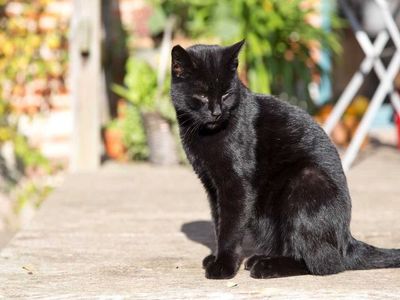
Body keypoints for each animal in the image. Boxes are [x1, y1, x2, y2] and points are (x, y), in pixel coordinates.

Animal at [170, 39, 400, 278]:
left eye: (226, 94)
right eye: (202, 96)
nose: (216, 112)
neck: (205, 134)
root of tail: (346, 241)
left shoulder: (236, 185)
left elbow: (230, 227)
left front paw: (223, 266)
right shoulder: (211, 185)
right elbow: (218, 222)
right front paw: (216, 257)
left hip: (306, 181)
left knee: (325, 263)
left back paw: (266, 266)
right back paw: (260, 259)